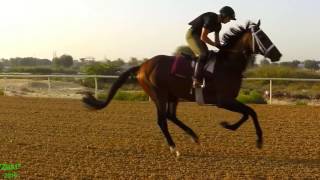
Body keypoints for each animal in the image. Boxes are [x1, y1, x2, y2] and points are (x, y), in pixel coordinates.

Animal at [83, 20, 282, 156]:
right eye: (263, 37)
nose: (278, 54)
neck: (227, 65)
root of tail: (142, 66)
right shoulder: (223, 100)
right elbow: (250, 112)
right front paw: (254, 137)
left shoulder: (228, 100)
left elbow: (249, 112)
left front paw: (231, 127)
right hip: (159, 95)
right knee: (162, 120)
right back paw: (174, 148)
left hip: (173, 95)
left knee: (171, 116)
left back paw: (193, 136)